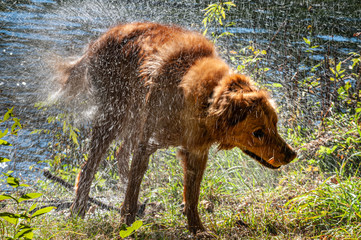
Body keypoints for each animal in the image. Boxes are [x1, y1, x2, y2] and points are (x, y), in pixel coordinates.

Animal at [57, 22, 296, 232]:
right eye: (258, 133)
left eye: (275, 124)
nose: (291, 154)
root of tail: (96, 43)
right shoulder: (147, 142)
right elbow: (132, 192)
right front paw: (126, 225)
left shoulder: (196, 152)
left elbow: (192, 197)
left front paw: (197, 229)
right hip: (114, 117)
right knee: (88, 167)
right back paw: (78, 210)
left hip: (134, 116)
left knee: (121, 153)